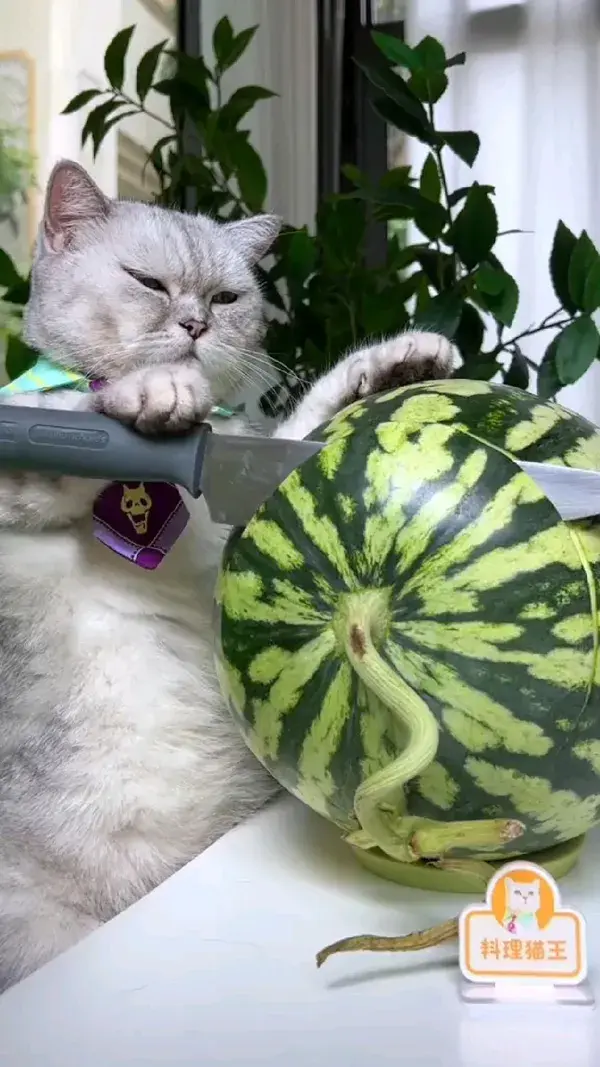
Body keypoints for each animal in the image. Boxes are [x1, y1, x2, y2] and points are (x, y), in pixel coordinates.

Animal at [0, 157, 452, 990]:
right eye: (148, 282)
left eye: (226, 299)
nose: (194, 327)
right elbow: (70, 420)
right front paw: (148, 394)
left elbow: (299, 424)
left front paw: (392, 362)